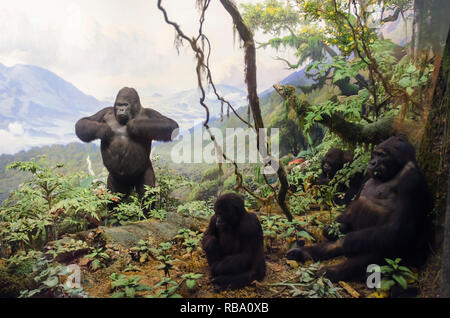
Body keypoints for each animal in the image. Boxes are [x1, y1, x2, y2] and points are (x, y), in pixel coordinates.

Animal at [286, 135, 434, 282]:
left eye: (382, 155)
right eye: (375, 154)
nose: (372, 162)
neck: (397, 168)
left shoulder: (411, 180)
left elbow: (398, 228)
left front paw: (346, 240)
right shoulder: (366, 174)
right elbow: (355, 199)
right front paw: (333, 229)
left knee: (369, 258)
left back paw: (330, 271)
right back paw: (304, 252)